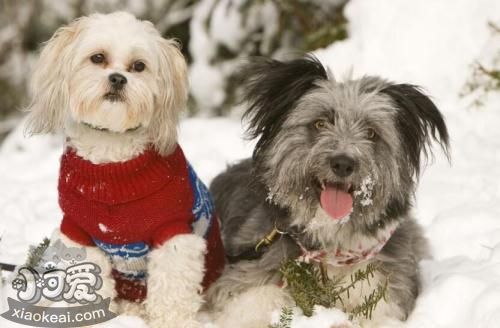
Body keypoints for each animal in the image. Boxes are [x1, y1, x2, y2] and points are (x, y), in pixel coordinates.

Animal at [24, 10, 224, 328]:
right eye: (98, 58)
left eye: (139, 66)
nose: (118, 78)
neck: (113, 164)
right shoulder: (78, 232)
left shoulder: (173, 234)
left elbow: (172, 291)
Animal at [204, 56, 450, 328]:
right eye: (320, 123)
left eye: (371, 133)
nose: (343, 163)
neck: (330, 248)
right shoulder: (245, 274)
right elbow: (254, 299)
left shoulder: (383, 291)